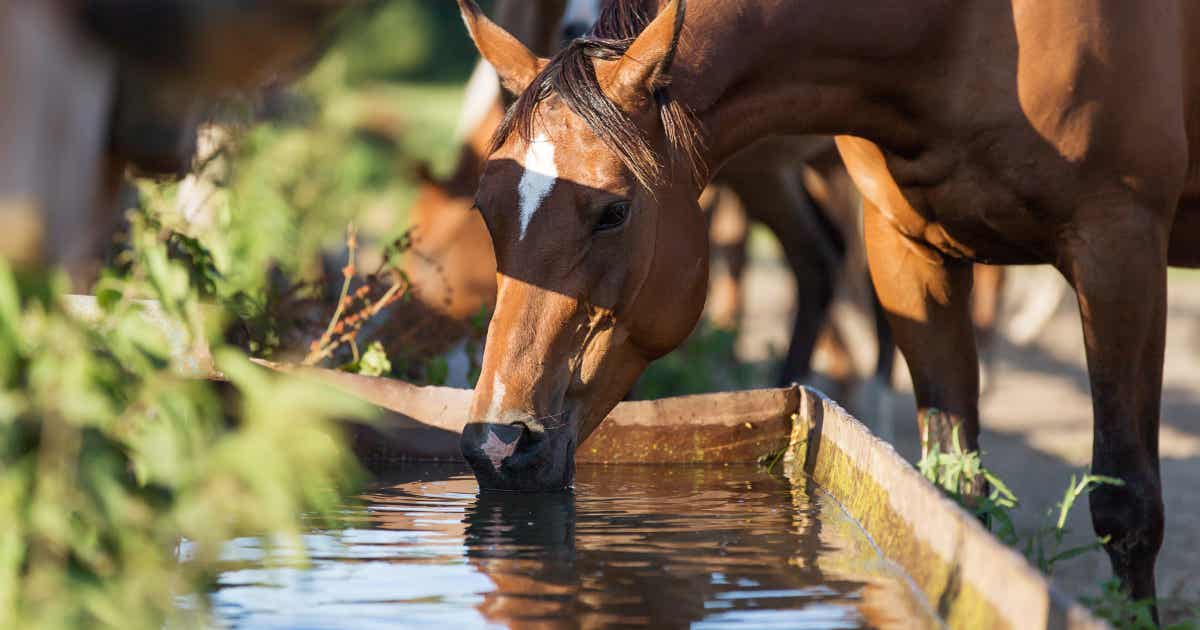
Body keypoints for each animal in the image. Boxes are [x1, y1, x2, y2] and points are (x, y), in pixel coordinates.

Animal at [456, 0, 1200, 609]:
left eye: (612, 212)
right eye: (486, 210)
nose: (496, 445)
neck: (965, 29)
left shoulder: (1119, 248)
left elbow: (1127, 508)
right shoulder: (905, 249)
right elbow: (953, 494)